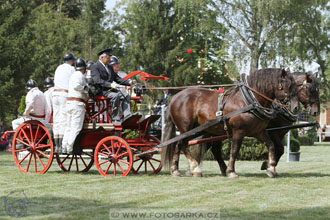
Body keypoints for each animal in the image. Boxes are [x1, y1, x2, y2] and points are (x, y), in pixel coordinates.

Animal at [161, 69, 296, 179]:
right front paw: (231, 172)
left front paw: (271, 168)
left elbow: (271, 146)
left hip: (197, 129)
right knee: (183, 145)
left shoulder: (259, 131)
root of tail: (174, 97)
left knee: (178, 145)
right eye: (285, 85)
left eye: (294, 85)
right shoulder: (239, 131)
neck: (249, 100)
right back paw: (195, 169)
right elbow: (234, 151)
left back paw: (175, 170)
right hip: (185, 128)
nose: (294, 107)